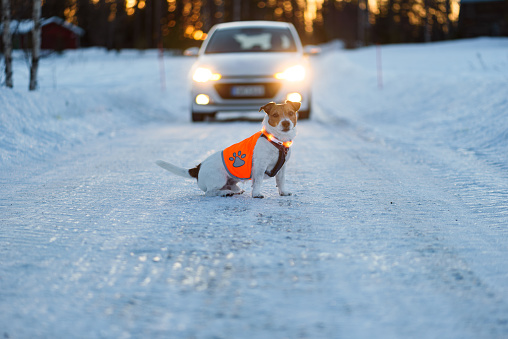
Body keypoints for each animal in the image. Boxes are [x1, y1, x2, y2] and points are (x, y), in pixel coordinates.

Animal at [155, 99, 298, 198]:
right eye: (275, 115)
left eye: (291, 113)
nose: (286, 123)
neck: (277, 141)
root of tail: (198, 168)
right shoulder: (260, 166)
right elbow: (258, 182)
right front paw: (256, 194)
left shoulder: (282, 167)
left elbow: (281, 181)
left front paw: (283, 192)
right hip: (219, 178)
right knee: (210, 192)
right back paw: (224, 193)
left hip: (230, 180)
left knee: (230, 186)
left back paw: (233, 190)